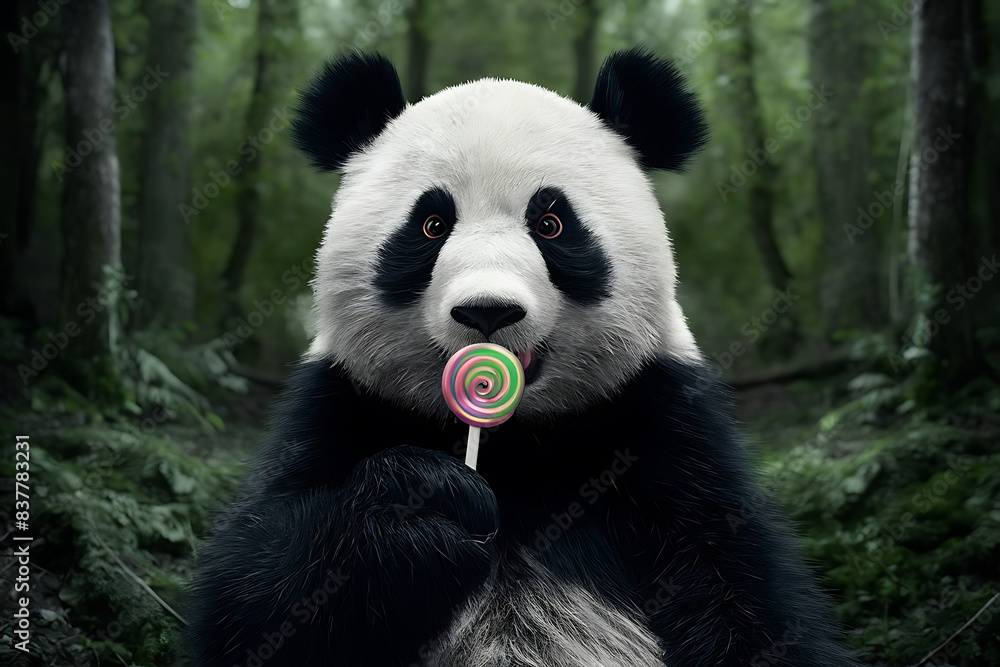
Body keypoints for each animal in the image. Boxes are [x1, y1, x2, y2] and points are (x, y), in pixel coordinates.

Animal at [187, 48, 857, 666]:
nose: (488, 312)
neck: (514, 444)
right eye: (431, 225)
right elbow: (254, 593)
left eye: (552, 223)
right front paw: (420, 505)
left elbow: (743, 591)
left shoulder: (669, 425)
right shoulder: (337, 400)